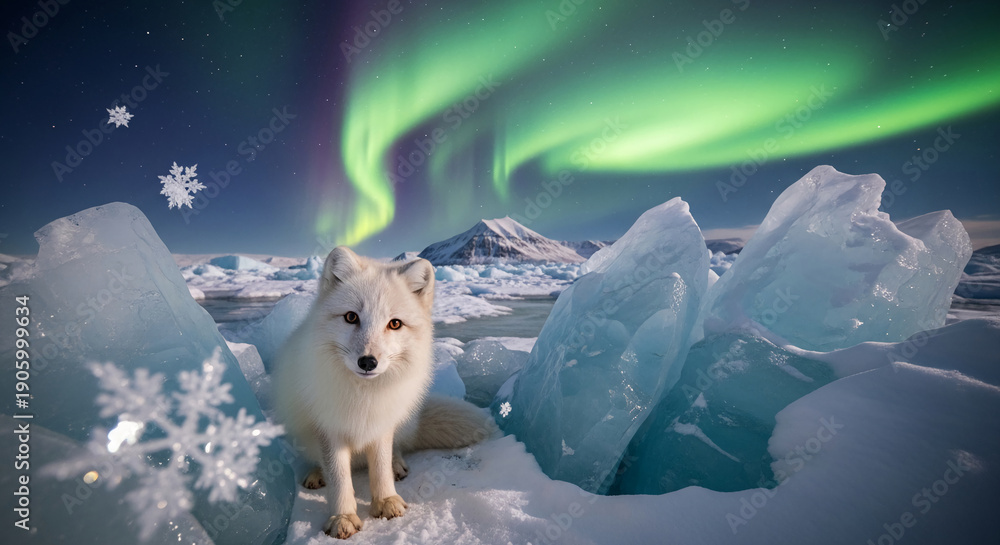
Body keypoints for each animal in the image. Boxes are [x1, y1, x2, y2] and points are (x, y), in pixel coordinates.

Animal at [274, 246, 496, 539]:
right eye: (351, 317)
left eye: (395, 324)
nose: (368, 362)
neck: (363, 396)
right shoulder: (330, 428)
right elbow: (338, 476)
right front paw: (342, 517)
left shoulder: (380, 424)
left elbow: (379, 466)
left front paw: (386, 501)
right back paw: (316, 473)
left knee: (398, 447)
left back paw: (396, 465)